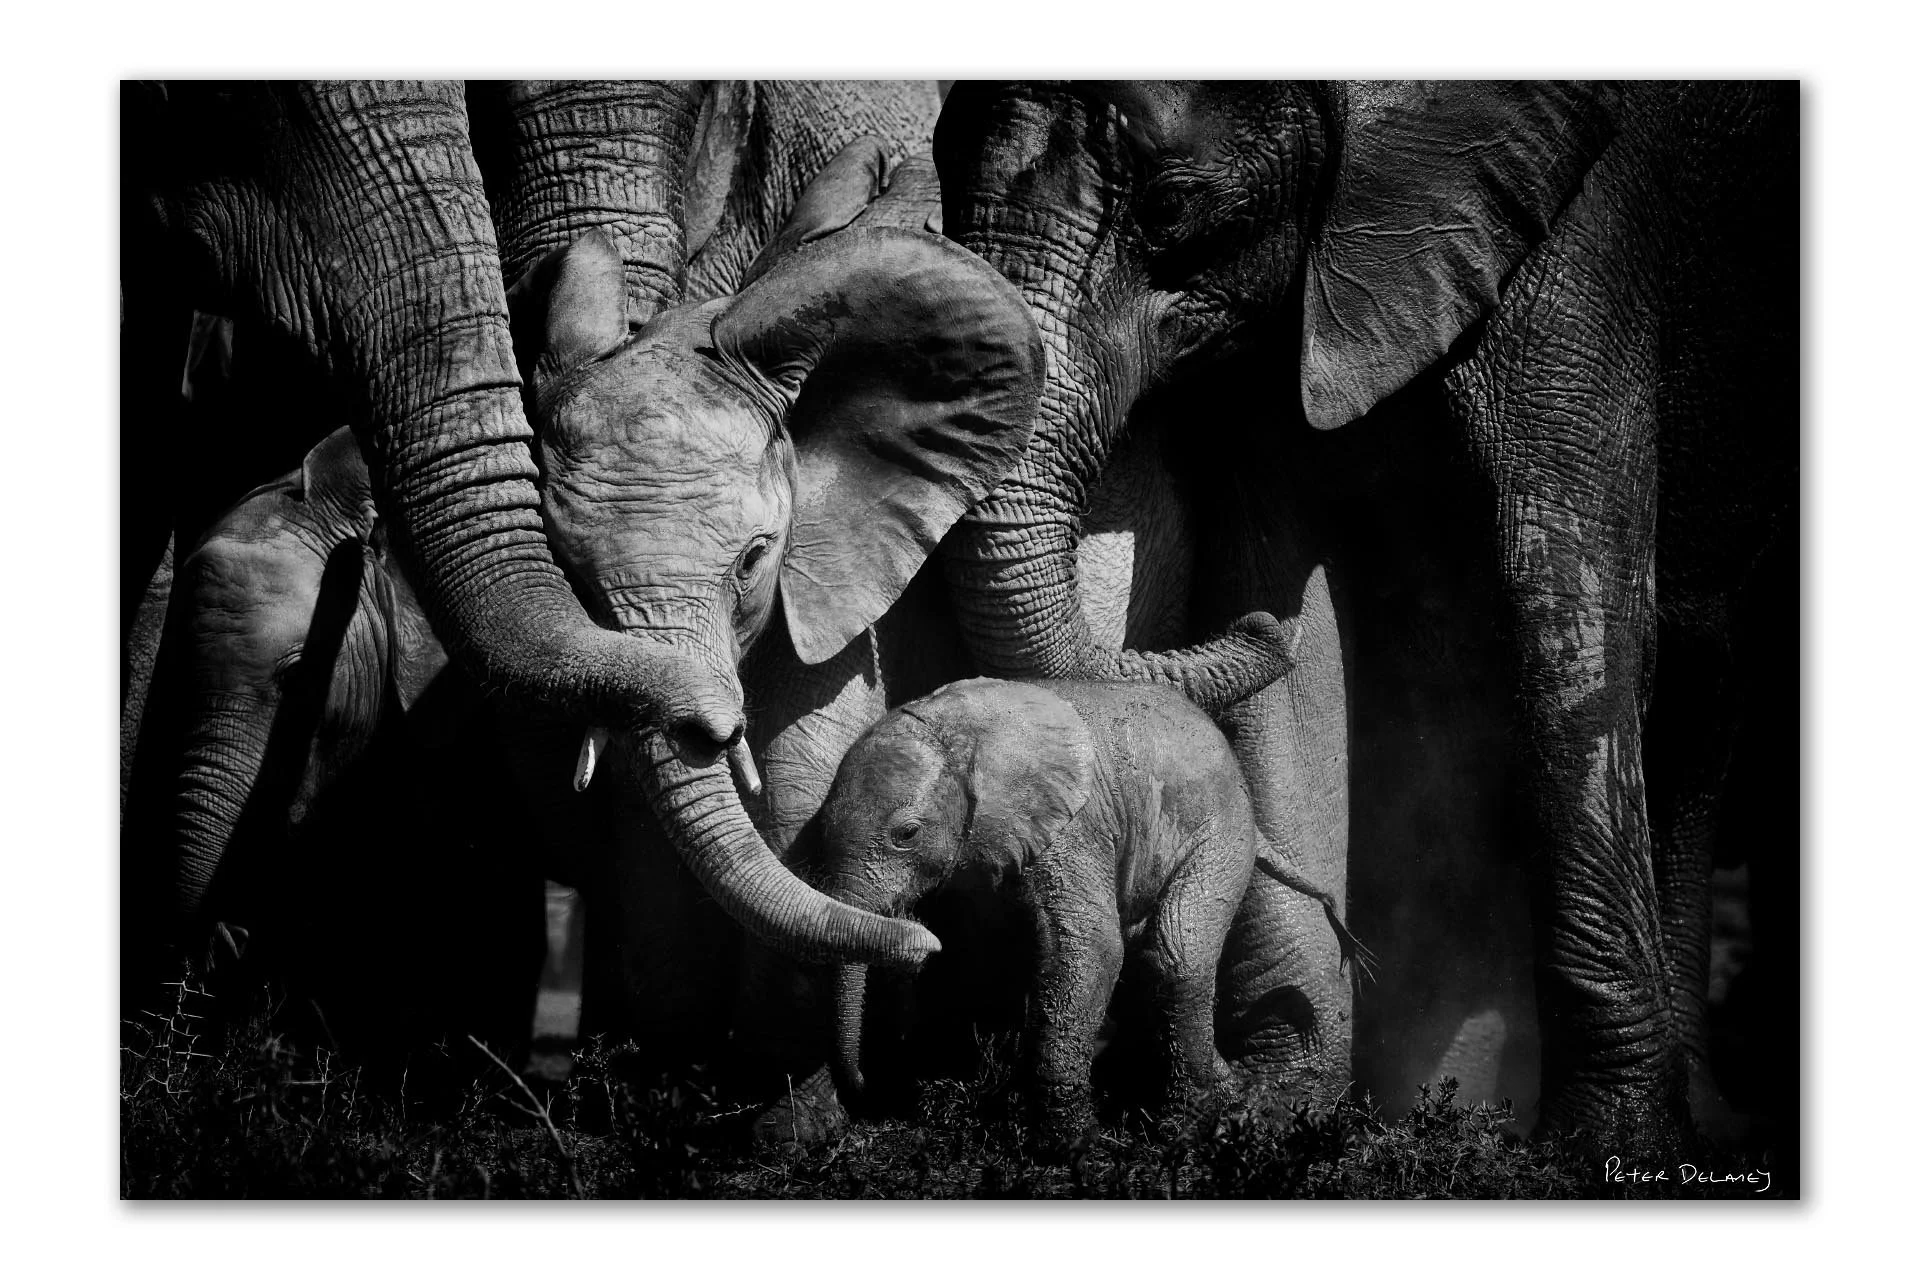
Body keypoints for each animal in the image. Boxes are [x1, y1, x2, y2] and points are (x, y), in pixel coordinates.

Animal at [820, 676, 1358, 1147]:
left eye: (906, 834)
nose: (866, 1089)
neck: (958, 731)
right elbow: (979, 960)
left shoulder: (1071, 827)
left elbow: (1089, 948)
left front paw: (1069, 1148)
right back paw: (1235, 1100)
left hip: (1222, 832)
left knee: (1176, 954)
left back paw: (1185, 1131)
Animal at [930, 81, 1797, 1145]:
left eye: (1169, 207)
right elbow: (1279, 630)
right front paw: (1276, 1113)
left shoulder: (1586, 251)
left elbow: (1569, 613)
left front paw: (1600, 1151)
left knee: (1698, 676)